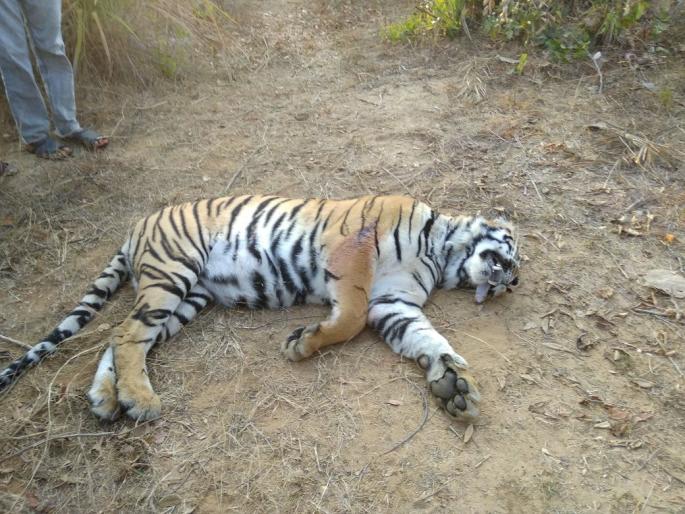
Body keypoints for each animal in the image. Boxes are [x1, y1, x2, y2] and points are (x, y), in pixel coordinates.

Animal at [0, 195, 520, 422]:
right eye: (512, 252)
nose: (510, 282)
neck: (442, 254)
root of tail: (137, 225)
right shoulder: (356, 245)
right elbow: (349, 317)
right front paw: (303, 344)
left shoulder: (394, 303)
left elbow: (427, 339)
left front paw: (454, 383)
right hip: (172, 273)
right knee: (127, 334)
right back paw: (142, 402)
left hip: (185, 300)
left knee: (123, 337)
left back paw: (112, 399)